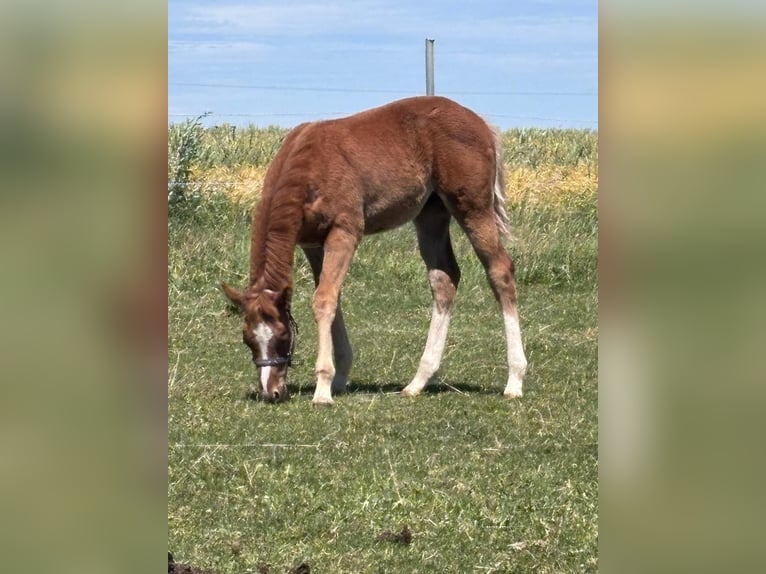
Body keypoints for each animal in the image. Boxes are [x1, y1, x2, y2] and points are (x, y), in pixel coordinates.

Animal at [222, 96, 527, 404]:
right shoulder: (312, 243)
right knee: (444, 279)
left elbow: (324, 300)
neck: (308, 165)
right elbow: (330, 296)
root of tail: (481, 123)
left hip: (473, 207)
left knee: (500, 271)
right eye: (248, 339)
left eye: (283, 335)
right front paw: (339, 379)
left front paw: (323, 388)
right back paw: (417, 382)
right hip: (431, 214)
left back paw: (514, 380)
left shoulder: (344, 232)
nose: (270, 392)